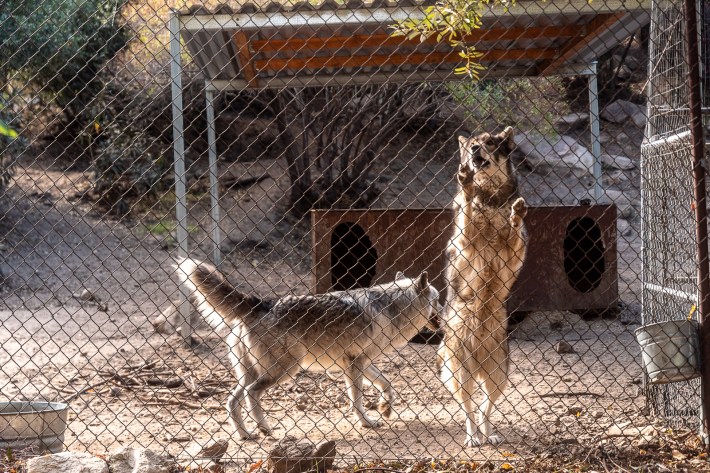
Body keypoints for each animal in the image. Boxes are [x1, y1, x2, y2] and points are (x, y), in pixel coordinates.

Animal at [176, 258, 441, 439]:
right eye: (438, 300)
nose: (447, 309)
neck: (392, 308)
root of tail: (260, 303)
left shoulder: (360, 363)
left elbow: (387, 384)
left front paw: (385, 409)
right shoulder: (355, 364)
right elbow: (356, 401)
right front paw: (366, 422)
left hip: (252, 373)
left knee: (232, 402)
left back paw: (246, 434)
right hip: (284, 371)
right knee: (252, 394)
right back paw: (264, 428)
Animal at [439, 126, 528, 446]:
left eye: (490, 142)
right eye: (472, 146)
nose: (475, 149)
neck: (490, 199)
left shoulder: (513, 256)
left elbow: (515, 232)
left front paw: (516, 215)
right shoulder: (466, 243)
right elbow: (466, 205)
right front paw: (466, 185)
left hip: (498, 375)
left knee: (485, 407)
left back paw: (489, 434)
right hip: (461, 374)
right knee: (467, 407)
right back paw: (473, 438)